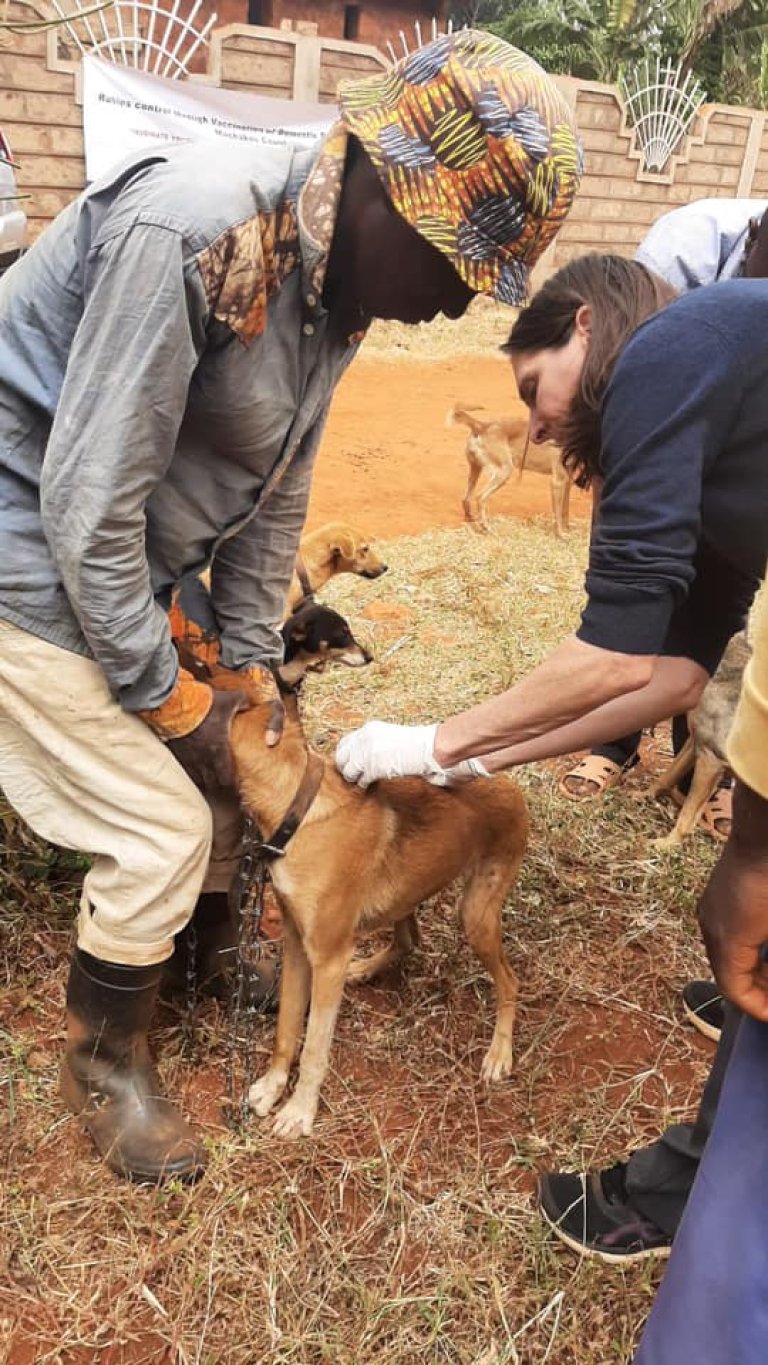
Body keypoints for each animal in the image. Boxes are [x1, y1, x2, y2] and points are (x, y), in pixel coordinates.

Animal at [447, 401, 572, 535]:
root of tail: (483, 425)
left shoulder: (567, 480)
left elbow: (565, 511)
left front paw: (568, 529)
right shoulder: (557, 481)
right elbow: (558, 514)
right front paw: (560, 534)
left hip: (476, 469)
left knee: (466, 499)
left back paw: (472, 521)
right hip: (504, 471)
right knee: (480, 498)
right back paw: (486, 527)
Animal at [652, 633, 752, 846]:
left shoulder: (710, 759)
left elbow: (687, 817)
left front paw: (666, 844)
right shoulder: (695, 743)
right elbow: (666, 777)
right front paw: (639, 796)